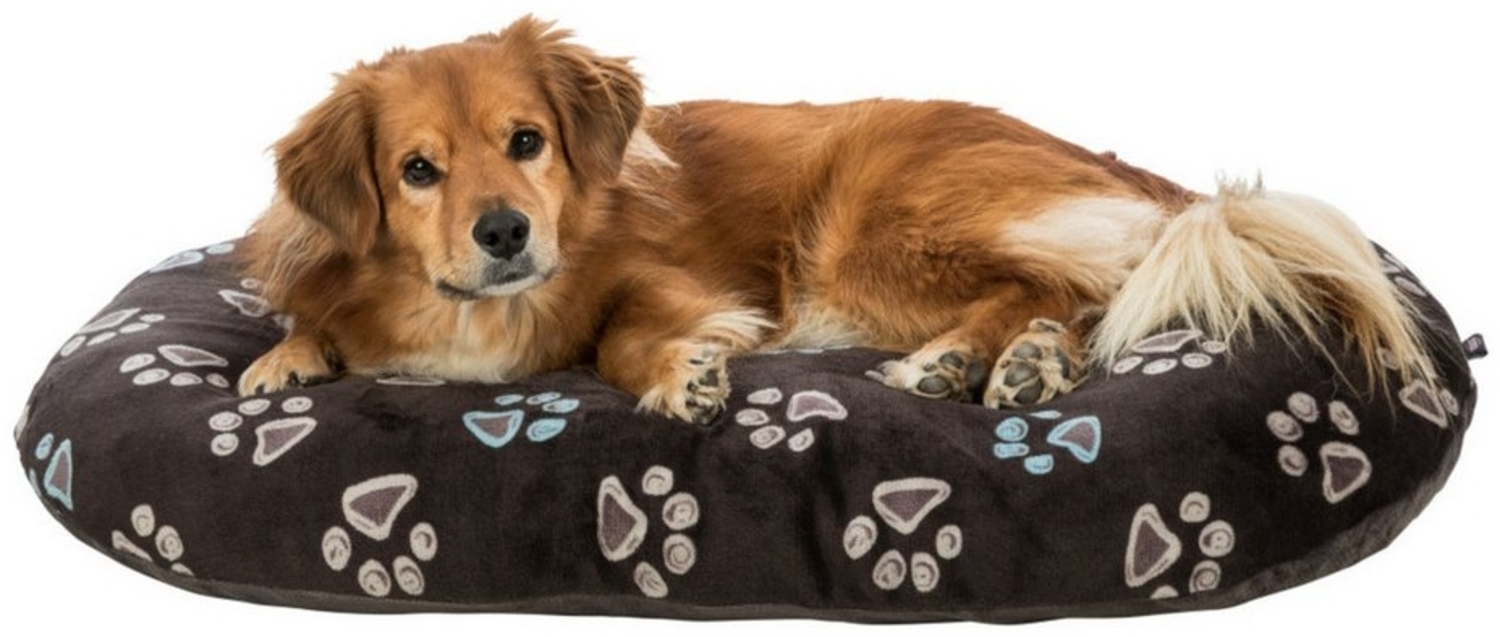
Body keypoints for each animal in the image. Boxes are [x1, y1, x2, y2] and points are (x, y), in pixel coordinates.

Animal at [238, 17, 1432, 424]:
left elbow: (622, 334)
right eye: (418, 170)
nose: (505, 234)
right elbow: (309, 321)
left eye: (527, 141)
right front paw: (283, 360)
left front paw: (677, 376)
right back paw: (1014, 362)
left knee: (1076, 284)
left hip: (861, 232)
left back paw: (974, 360)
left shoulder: (679, 283)